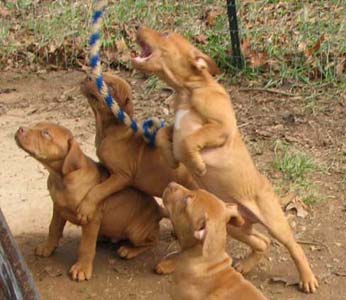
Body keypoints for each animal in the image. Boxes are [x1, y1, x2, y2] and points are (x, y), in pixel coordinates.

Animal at [14, 122, 162, 282]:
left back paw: (130, 250)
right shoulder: (58, 209)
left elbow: (86, 246)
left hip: (135, 232)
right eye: (36, 125)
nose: (20, 129)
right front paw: (47, 248)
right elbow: (53, 229)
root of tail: (159, 210)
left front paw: (82, 269)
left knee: (153, 241)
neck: (62, 178)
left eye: (46, 133)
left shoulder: (91, 219)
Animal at [131, 27, 318, 292]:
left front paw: (197, 164)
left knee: (293, 247)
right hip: (233, 225)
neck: (187, 91)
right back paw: (245, 265)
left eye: (165, 35)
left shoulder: (222, 128)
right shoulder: (176, 128)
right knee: (261, 242)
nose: (137, 27)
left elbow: (191, 140)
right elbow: (162, 135)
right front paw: (172, 158)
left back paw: (307, 278)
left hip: (274, 221)